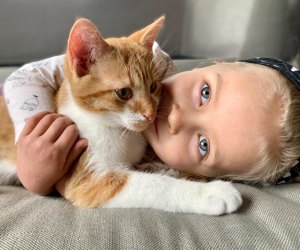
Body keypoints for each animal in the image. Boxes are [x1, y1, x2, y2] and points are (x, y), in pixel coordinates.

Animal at [0, 16, 241, 215]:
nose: (150, 114)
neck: (116, 130)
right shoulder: (89, 178)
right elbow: (152, 185)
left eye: (153, 87)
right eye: (123, 92)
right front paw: (210, 192)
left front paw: (173, 171)